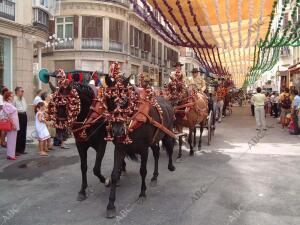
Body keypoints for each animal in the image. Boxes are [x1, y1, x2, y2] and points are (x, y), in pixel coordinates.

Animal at [105, 79, 176, 218]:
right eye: (109, 99)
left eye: (125, 100)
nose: (117, 130)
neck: (134, 122)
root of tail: (167, 102)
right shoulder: (120, 149)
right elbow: (114, 174)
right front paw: (110, 205)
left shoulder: (144, 149)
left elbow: (143, 171)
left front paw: (142, 193)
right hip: (154, 140)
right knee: (156, 153)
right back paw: (154, 177)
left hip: (167, 133)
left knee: (170, 149)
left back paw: (171, 166)